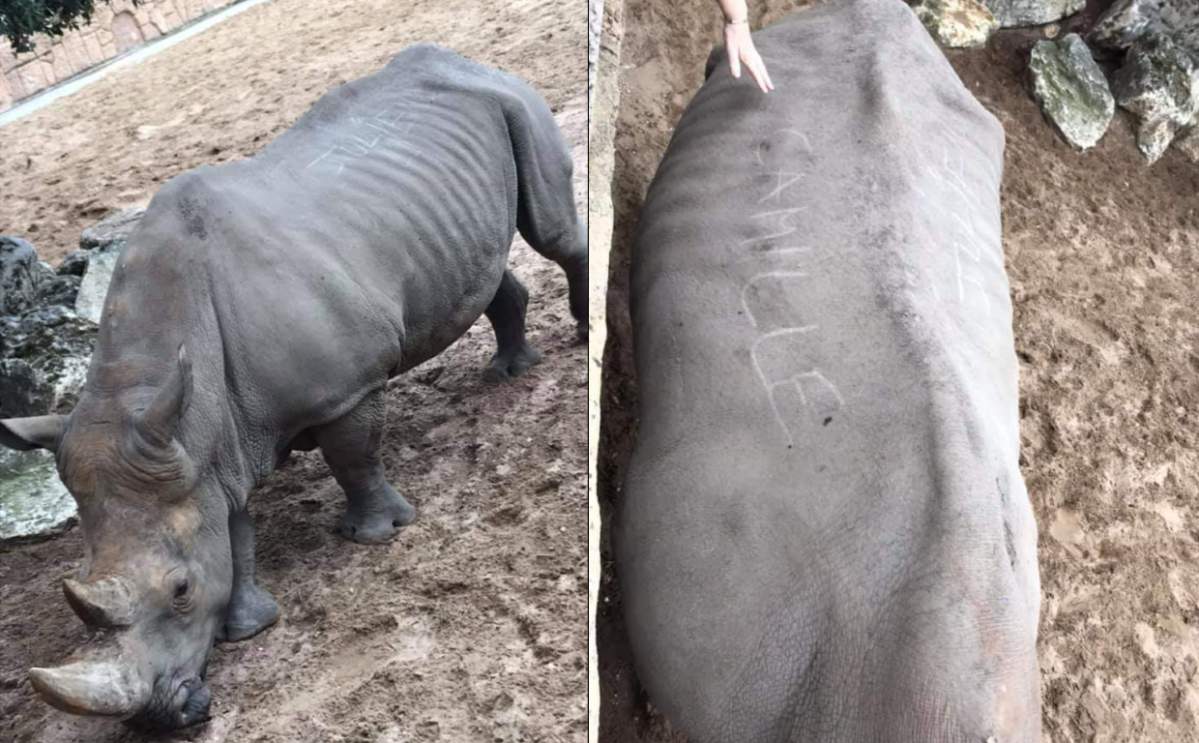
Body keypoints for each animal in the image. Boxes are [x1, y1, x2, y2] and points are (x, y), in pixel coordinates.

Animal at [0, 44, 585, 730]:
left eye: (180, 591)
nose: (158, 720)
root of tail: (467, 61)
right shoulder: (200, 447)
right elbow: (233, 531)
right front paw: (248, 629)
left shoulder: (342, 391)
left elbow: (352, 457)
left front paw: (374, 535)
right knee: (481, 268)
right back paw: (509, 372)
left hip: (510, 100)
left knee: (551, 232)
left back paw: (578, 336)